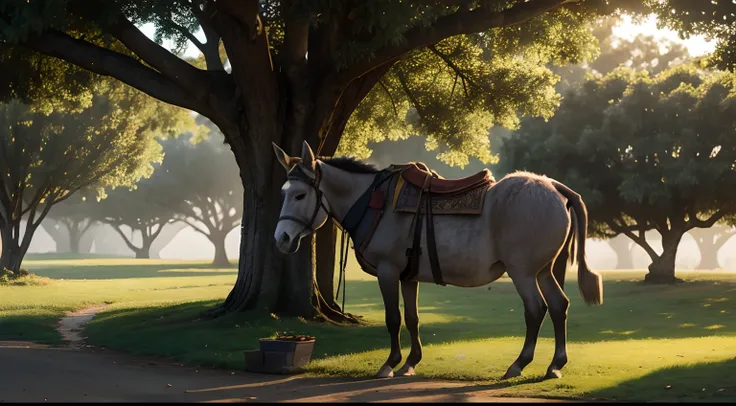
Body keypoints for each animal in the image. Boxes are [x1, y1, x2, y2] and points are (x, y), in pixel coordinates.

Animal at [274, 141, 600, 380]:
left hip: (522, 272)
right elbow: (412, 318)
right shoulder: (408, 276)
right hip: (542, 270)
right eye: (284, 192)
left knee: (536, 310)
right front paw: (410, 362)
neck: (375, 202)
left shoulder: (388, 271)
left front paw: (390, 363)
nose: (282, 238)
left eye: (300, 195)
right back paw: (555, 364)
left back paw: (518, 364)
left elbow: (393, 319)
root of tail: (554, 186)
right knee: (558, 306)